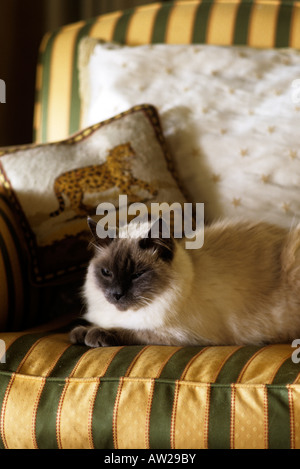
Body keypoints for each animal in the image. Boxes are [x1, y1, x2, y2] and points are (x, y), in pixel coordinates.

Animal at [69, 217, 300, 348]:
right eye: (106, 273)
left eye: (138, 274)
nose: (116, 294)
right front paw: (79, 332)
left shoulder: (180, 335)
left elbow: (131, 331)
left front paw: (94, 335)